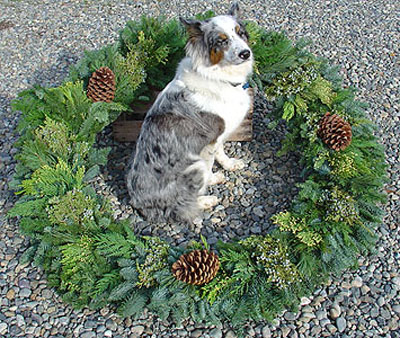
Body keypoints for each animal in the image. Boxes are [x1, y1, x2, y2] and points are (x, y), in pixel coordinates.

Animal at [128, 3, 253, 224]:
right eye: (221, 40)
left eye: (240, 33)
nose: (245, 53)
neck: (218, 76)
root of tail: (138, 204)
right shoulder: (209, 143)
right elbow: (211, 162)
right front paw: (213, 179)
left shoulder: (219, 136)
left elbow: (222, 153)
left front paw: (229, 165)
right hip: (194, 167)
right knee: (179, 205)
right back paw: (206, 200)